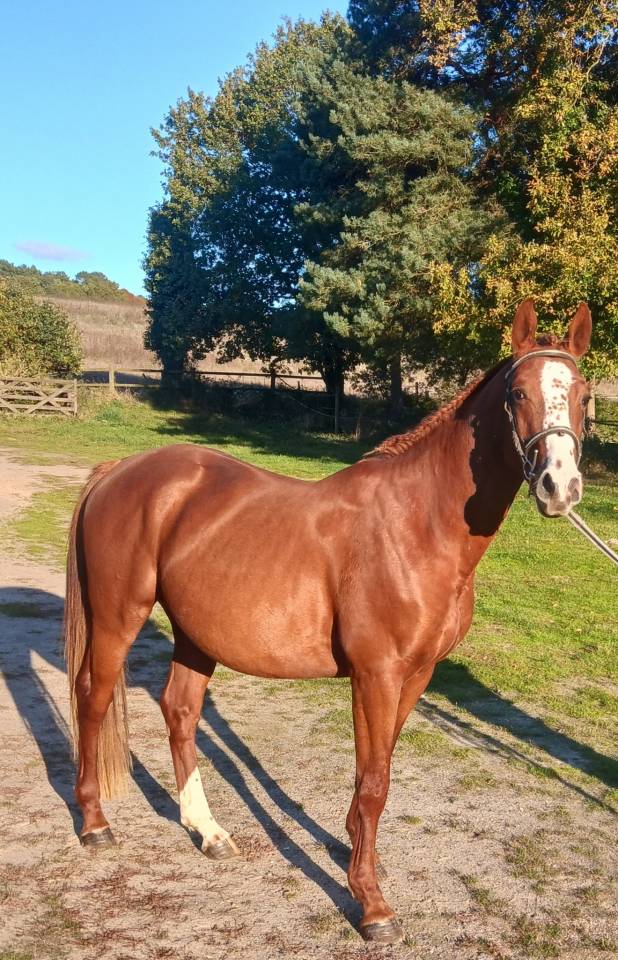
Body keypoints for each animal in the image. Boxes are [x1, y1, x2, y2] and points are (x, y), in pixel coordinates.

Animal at [64, 299, 592, 944]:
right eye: (517, 393)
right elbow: (373, 781)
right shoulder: (375, 675)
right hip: (118, 617)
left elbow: (379, 773)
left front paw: (357, 855)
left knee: (181, 711)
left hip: (195, 633)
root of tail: (120, 470)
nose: (559, 486)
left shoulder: (415, 676)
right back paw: (94, 823)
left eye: (585, 394)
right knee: (92, 697)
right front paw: (372, 903)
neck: (419, 524)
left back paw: (208, 832)